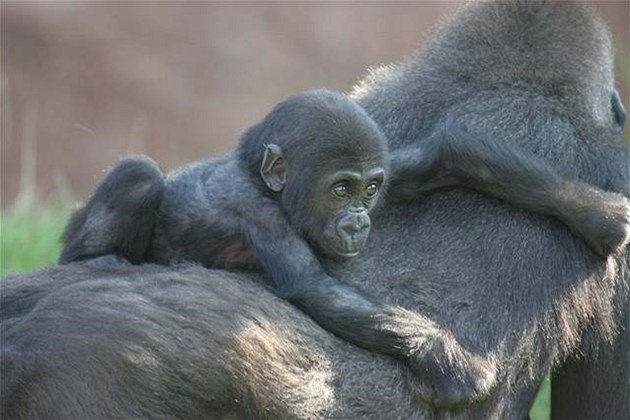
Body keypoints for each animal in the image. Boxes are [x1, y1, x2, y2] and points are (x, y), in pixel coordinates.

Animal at [2, 1, 628, 418]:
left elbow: (443, 153)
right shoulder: (263, 218)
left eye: (368, 189)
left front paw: (593, 212)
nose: (359, 222)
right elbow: (311, 287)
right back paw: (99, 258)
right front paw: (445, 358)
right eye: (339, 190)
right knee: (138, 176)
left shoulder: (385, 150)